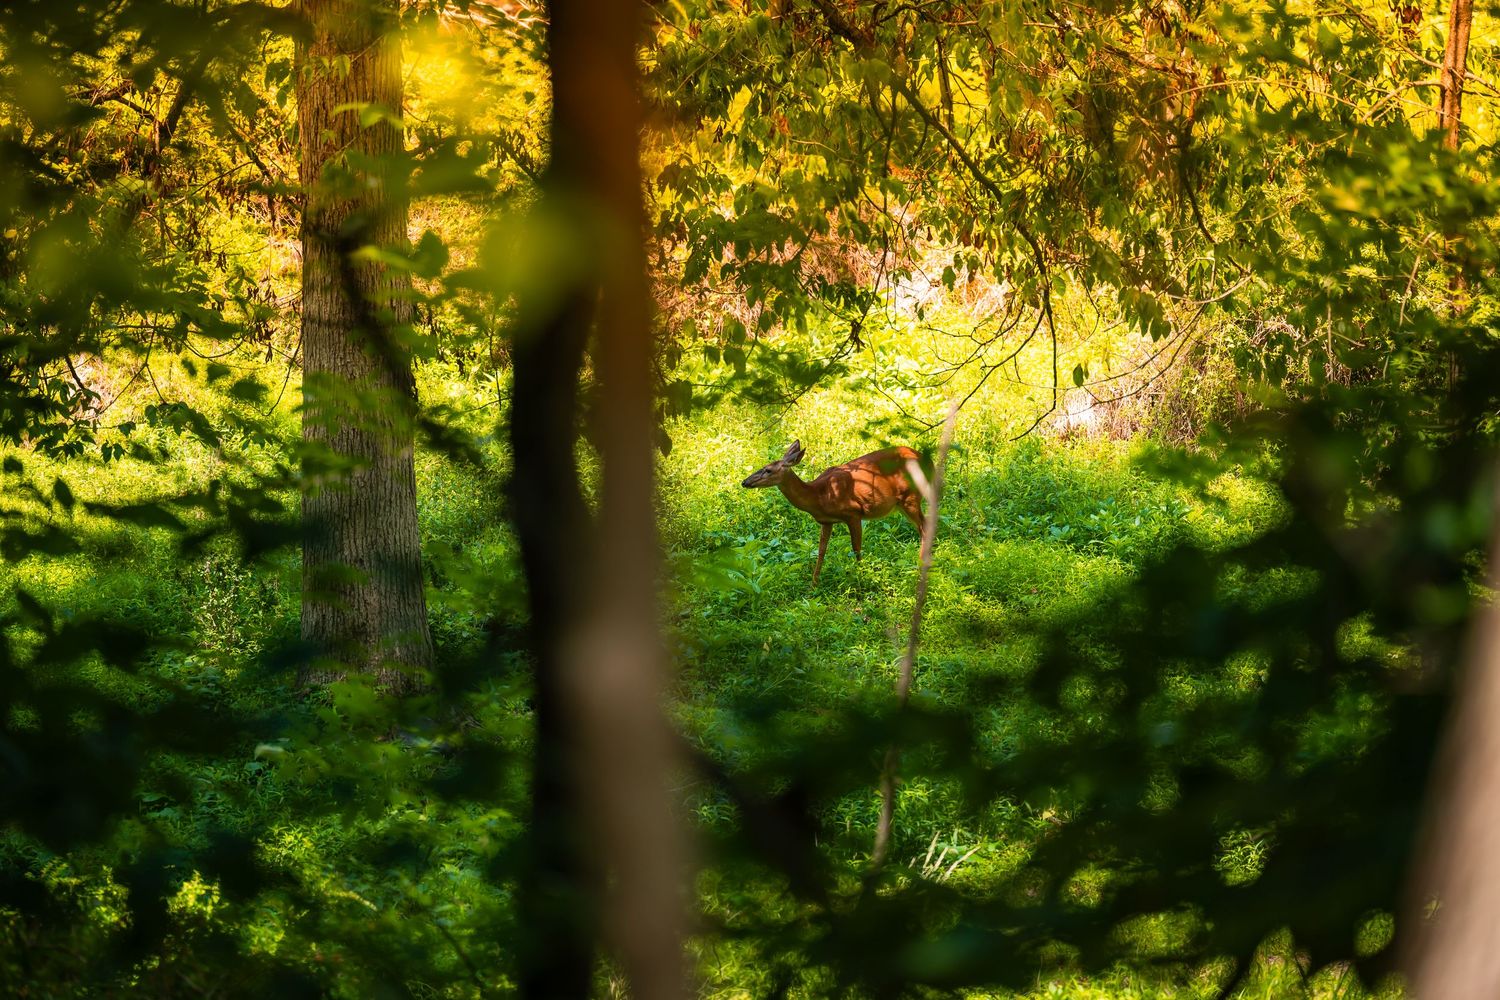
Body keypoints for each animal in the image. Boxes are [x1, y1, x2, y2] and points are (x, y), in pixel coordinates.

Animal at [741, 440, 926, 585]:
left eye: (768, 470)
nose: (745, 482)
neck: (819, 495)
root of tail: (925, 458)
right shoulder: (826, 521)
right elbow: (821, 550)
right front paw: (814, 584)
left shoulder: (853, 513)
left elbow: (856, 548)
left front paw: (862, 576)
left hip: (910, 496)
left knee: (924, 526)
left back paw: (921, 566)